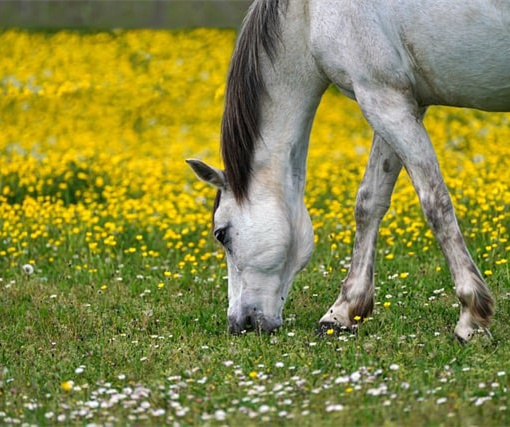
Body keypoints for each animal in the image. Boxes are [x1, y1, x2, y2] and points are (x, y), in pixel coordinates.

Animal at [188, 0, 510, 342]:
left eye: (221, 234)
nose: (239, 323)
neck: (308, 13)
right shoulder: (400, 102)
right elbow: (369, 202)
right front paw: (343, 311)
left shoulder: (381, 97)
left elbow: (435, 203)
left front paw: (470, 316)